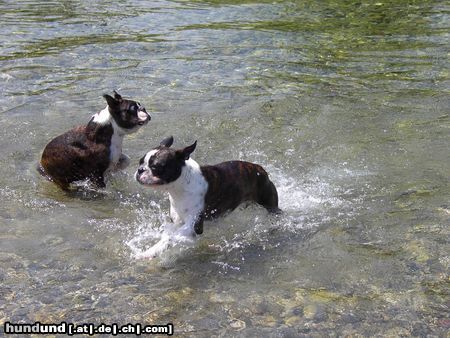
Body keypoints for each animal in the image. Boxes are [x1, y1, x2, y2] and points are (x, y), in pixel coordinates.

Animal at [135, 136, 280, 258]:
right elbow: (170, 234)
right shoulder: (178, 221)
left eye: (156, 167)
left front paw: (149, 252)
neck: (179, 188)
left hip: (270, 203)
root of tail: (259, 168)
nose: (140, 170)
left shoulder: (194, 226)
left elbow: (170, 237)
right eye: (140, 162)